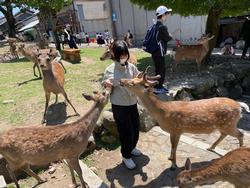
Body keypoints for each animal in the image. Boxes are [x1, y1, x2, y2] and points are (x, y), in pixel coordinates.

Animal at [120, 67, 249, 170]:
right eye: (132, 79)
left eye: (133, 83)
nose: (121, 81)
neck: (163, 112)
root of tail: (239, 106)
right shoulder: (172, 131)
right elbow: (172, 146)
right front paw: (170, 159)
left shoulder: (177, 130)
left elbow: (174, 147)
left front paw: (173, 165)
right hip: (225, 124)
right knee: (225, 134)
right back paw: (211, 147)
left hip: (229, 123)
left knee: (240, 134)